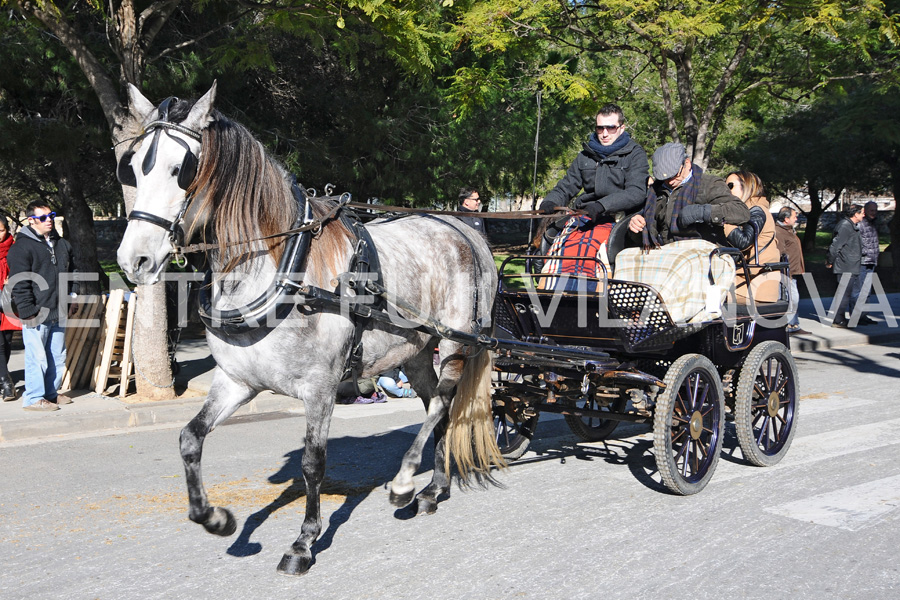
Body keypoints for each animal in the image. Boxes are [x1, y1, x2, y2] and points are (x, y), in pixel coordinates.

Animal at [115, 82, 502, 576]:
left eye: (181, 170)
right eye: (131, 168)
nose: (134, 261)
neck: (279, 270)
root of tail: (464, 230)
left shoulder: (321, 387)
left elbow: (313, 462)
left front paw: (303, 542)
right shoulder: (237, 382)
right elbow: (189, 438)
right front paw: (215, 517)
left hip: (455, 341)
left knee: (441, 404)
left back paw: (403, 482)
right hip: (415, 352)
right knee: (439, 406)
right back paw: (434, 487)